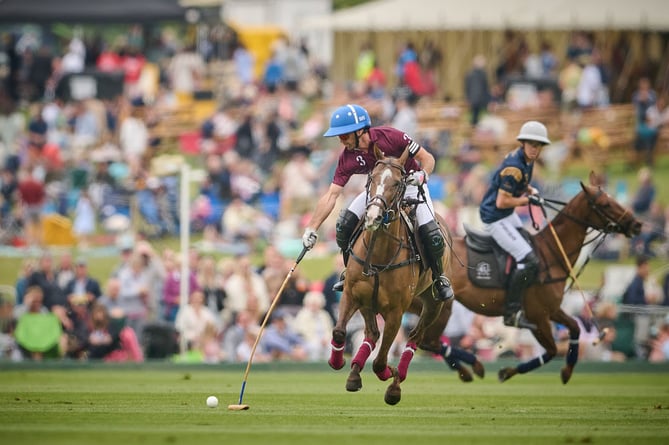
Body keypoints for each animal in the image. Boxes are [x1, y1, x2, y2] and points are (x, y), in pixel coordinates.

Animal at [326, 145, 446, 402]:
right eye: (372, 178)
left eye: (398, 183)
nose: (373, 217)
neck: (379, 255)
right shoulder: (352, 294)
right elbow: (339, 331)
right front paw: (337, 361)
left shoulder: (395, 312)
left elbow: (380, 362)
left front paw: (391, 375)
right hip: (368, 303)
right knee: (371, 334)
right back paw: (354, 373)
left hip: (433, 303)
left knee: (414, 338)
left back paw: (396, 380)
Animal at [412, 170, 640, 382]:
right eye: (605, 204)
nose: (637, 224)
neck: (551, 254)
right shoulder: (538, 315)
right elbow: (552, 350)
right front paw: (507, 372)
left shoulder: (551, 309)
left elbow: (574, 328)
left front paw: (567, 371)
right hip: (443, 306)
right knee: (429, 341)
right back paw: (474, 366)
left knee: (427, 340)